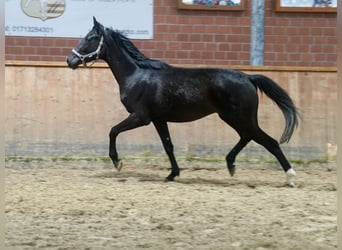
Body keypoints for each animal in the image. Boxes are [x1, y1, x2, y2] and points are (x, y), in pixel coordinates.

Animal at [67, 17, 300, 186]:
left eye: (90, 37)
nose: (70, 60)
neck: (136, 75)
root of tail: (248, 77)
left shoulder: (141, 117)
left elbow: (113, 131)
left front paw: (118, 162)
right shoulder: (158, 119)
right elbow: (168, 146)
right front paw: (172, 174)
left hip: (238, 117)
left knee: (269, 141)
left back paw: (289, 177)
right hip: (235, 118)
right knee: (248, 137)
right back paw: (231, 164)